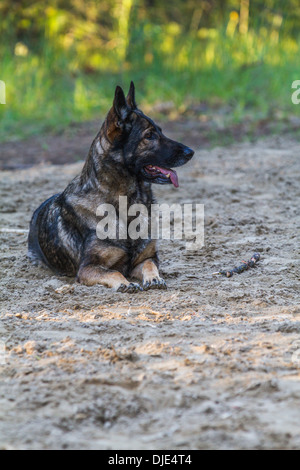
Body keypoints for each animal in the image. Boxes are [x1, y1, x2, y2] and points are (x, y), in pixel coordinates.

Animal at [28, 82, 195, 292]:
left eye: (160, 131)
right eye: (149, 135)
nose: (191, 152)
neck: (126, 203)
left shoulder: (146, 258)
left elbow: (149, 264)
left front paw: (154, 279)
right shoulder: (87, 268)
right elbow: (114, 272)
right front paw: (126, 283)